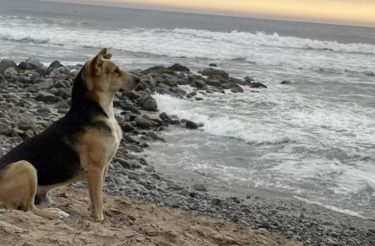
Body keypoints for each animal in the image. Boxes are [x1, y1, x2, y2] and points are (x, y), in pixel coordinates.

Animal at [0, 48, 140, 221]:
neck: (97, 110)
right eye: (115, 71)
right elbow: (98, 198)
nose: (139, 80)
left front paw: (92, 211)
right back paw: (55, 213)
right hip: (26, 166)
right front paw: (99, 218)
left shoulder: (104, 167)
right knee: (28, 208)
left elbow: (96, 195)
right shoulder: (95, 168)